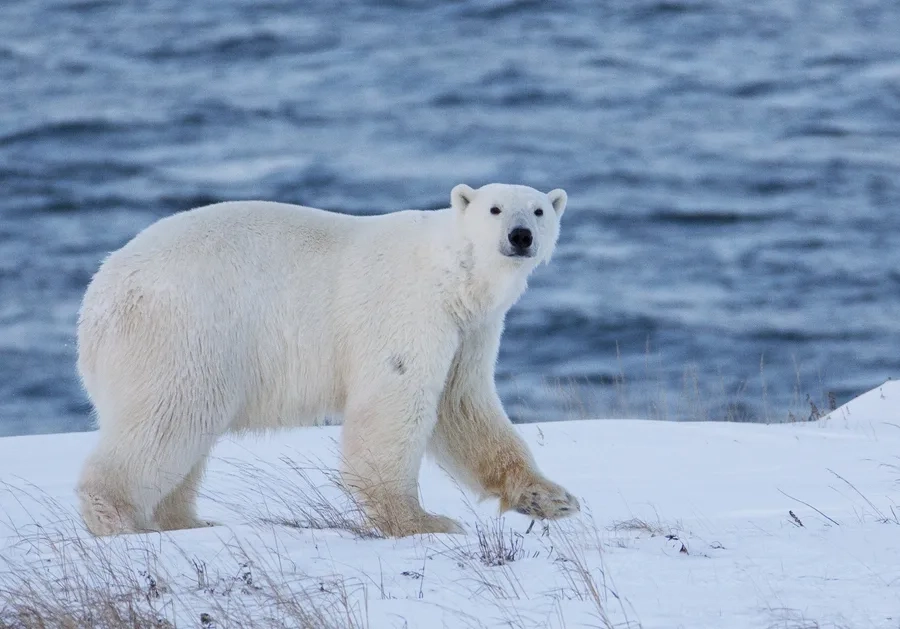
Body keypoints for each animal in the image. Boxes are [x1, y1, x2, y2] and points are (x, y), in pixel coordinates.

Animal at [79, 182, 584, 536]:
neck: (453, 273)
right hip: (183, 331)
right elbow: (395, 402)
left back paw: (186, 520)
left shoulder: (470, 329)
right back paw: (118, 516)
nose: (520, 236)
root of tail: (97, 298)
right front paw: (422, 521)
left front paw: (551, 498)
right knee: (167, 419)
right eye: (495, 209)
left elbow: (462, 405)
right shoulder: (408, 308)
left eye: (539, 210)